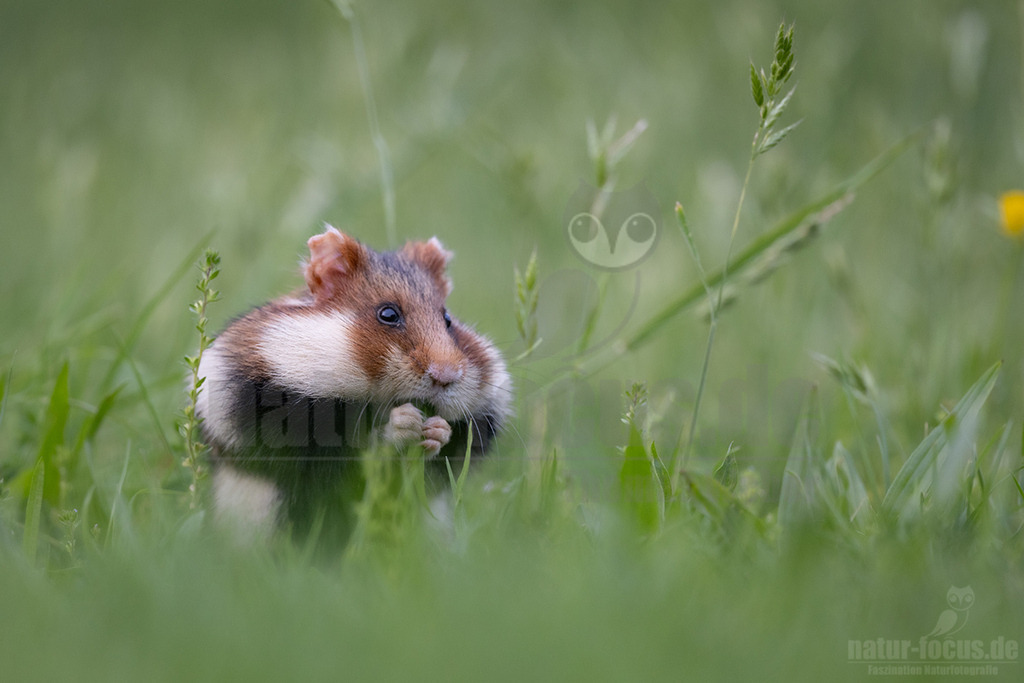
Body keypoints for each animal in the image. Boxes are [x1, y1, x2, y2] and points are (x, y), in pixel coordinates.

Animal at [195, 226, 512, 539]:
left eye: (447, 319)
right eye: (388, 314)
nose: (446, 376)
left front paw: (438, 430)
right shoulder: (272, 414)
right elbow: (347, 448)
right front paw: (405, 422)